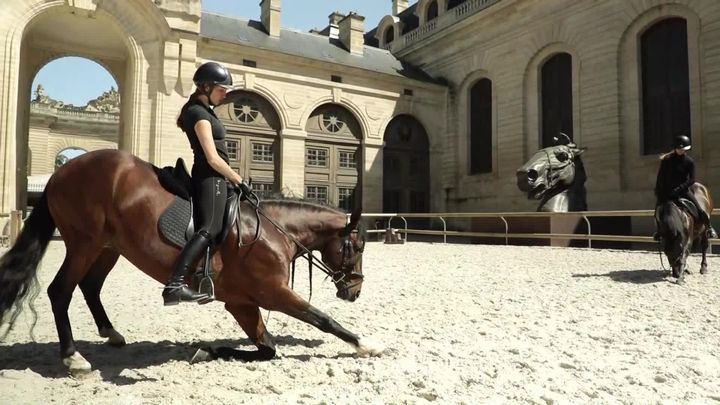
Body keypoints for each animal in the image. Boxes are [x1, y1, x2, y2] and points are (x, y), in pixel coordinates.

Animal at [0, 148, 382, 376]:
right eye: (357, 246)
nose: (355, 290)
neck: (274, 229)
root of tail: (63, 170)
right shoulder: (272, 293)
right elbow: (322, 319)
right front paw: (366, 344)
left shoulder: (241, 303)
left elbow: (268, 348)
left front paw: (209, 350)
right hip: (84, 243)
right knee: (60, 291)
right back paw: (73, 357)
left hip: (108, 247)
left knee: (89, 285)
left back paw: (112, 334)